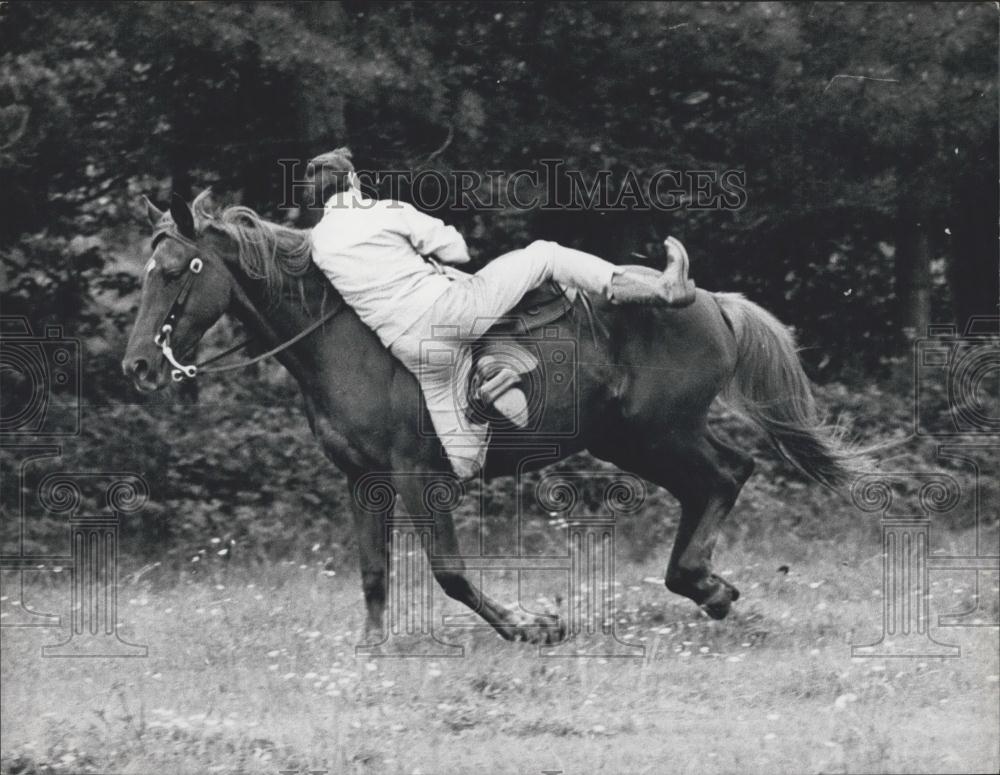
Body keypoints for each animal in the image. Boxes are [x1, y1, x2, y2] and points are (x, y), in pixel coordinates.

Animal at [121, 191, 864, 644]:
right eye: (147, 270)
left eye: (179, 268)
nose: (138, 366)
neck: (348, 341)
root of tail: (712, 302)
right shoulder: (363, 480)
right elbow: (374, 570)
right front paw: (372, 649)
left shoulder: (418, 476)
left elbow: (449, 571)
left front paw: (531, 626)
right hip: (636, 439)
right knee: (722, 477)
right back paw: (708, 587)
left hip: (658, 433)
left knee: (724, 476)